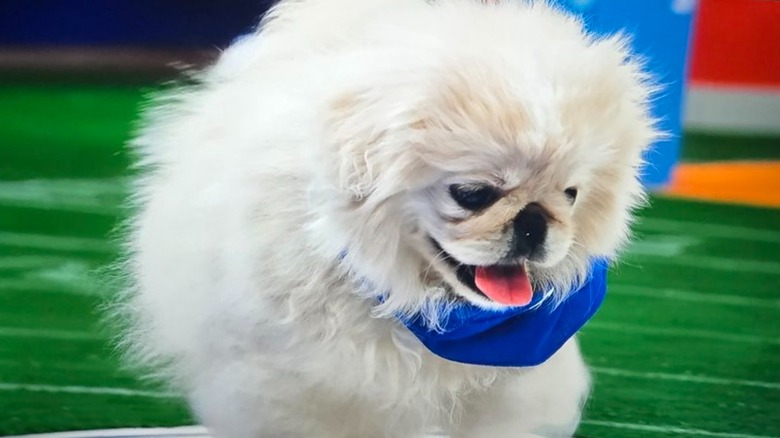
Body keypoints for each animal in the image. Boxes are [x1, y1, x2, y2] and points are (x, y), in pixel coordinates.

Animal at [119, 1, 660, 436]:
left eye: (569, 194)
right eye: (473, 194)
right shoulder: (309, 380)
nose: (533, 222)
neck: (417, 301)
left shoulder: (505, 390)